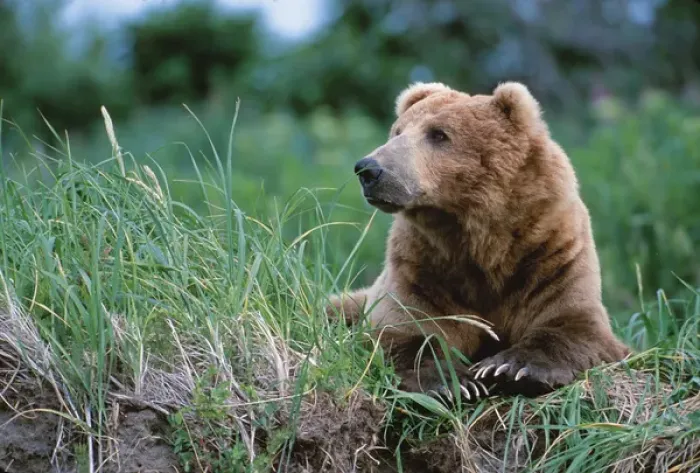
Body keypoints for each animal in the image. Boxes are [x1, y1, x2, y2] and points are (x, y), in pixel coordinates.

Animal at [326, 81, 630, 401]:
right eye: (397, 131)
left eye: (439, 134)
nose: (369, 169)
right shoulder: (422, 266)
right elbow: (407, 332)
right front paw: (455, 383)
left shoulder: (551, 252)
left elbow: (573, 324)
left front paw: (510, 367)